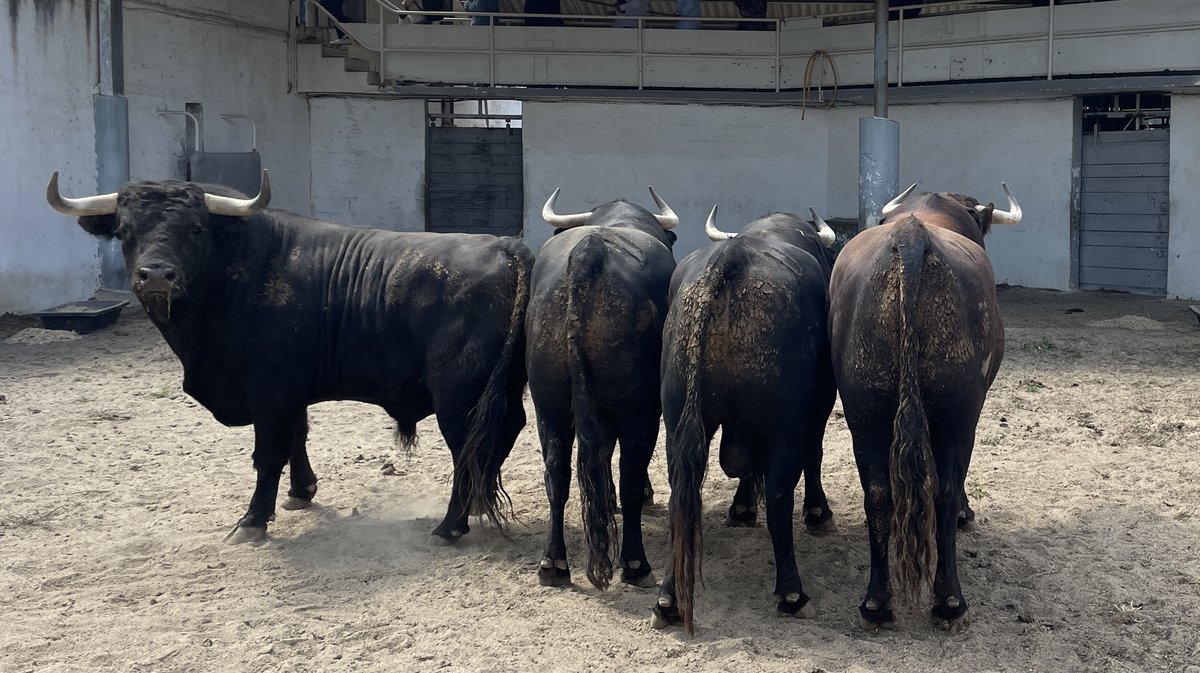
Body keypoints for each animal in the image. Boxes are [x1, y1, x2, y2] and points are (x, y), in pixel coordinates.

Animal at [48, 170, 535, 542]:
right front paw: (302, 491)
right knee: (503, 432)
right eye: (125, 230)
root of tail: (505, 247)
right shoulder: (291, 392)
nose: (155, 276)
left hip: (459, 396)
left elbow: (268, 453)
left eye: (195, 229)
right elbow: (297, 437)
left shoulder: (270, 391)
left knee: (466, 448)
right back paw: (475, 505)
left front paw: (252, 520)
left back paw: (451, 525)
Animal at [835, 179, 1022, 628]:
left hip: (864, 415)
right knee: (946, 492)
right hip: (957, 416)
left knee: (879, 494)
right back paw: (949, 598)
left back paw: (876, 601)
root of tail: (912, 237)